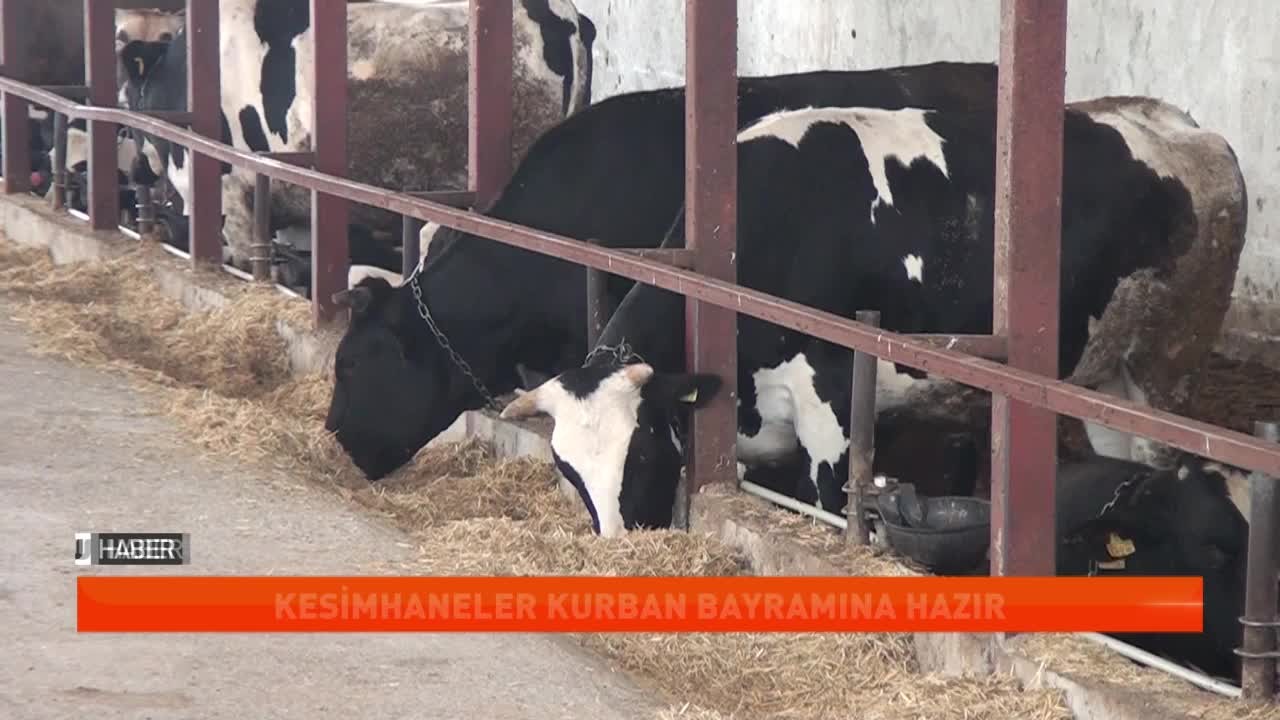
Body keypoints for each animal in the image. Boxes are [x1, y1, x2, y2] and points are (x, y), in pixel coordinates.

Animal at [495, 99, 1246, 536]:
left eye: (643, 451)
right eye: (568, 470)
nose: (621, 547)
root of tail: (1187, 129)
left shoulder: (830, 399)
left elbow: (832, 502)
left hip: (1165, 366)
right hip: (1103, 373)